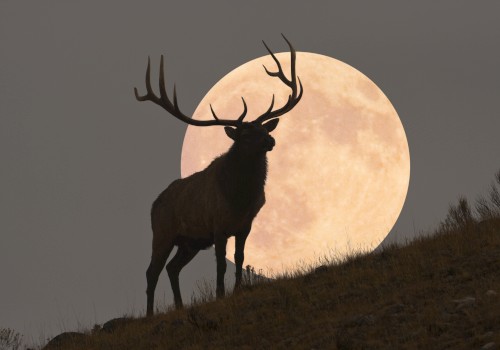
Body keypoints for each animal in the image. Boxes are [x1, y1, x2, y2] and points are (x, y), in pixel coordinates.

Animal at [133, 35, 302, 318]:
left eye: (263, 129)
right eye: (245, 135)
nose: (270, 140)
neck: (239, 198)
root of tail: (154, 204)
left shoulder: (245, 225)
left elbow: (240, 259)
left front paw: (237, 290)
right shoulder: (218, 225)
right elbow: (221, 265)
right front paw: (220, 295)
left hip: (190, 242)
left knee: (172, 268)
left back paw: (179, 305)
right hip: (163, 231)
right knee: (151, 271)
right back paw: (148, 314)